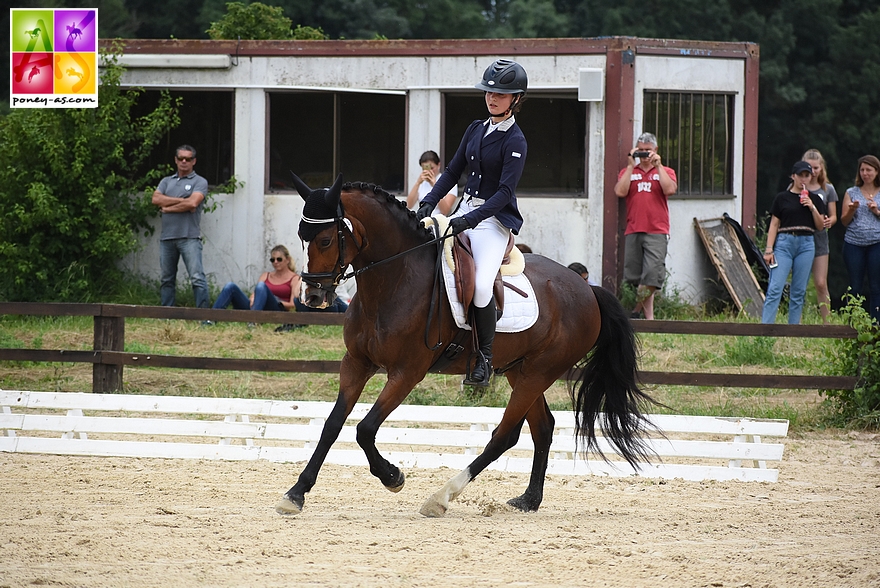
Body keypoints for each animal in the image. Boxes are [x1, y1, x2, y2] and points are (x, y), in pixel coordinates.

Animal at [278, 177, 656, 516]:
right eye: (301, 237)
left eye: (326, 239)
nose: (312, 296)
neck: (395, 279)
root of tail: (587, 289)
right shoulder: (356, 363)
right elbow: (332, 426)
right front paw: (296, 493)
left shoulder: (407, 372)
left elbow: (365, 429)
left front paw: (392, 476)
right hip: (520, 370)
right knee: (543, 428)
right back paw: (528, 500)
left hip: (540, 371)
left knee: (504, 435)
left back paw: (441, 498)